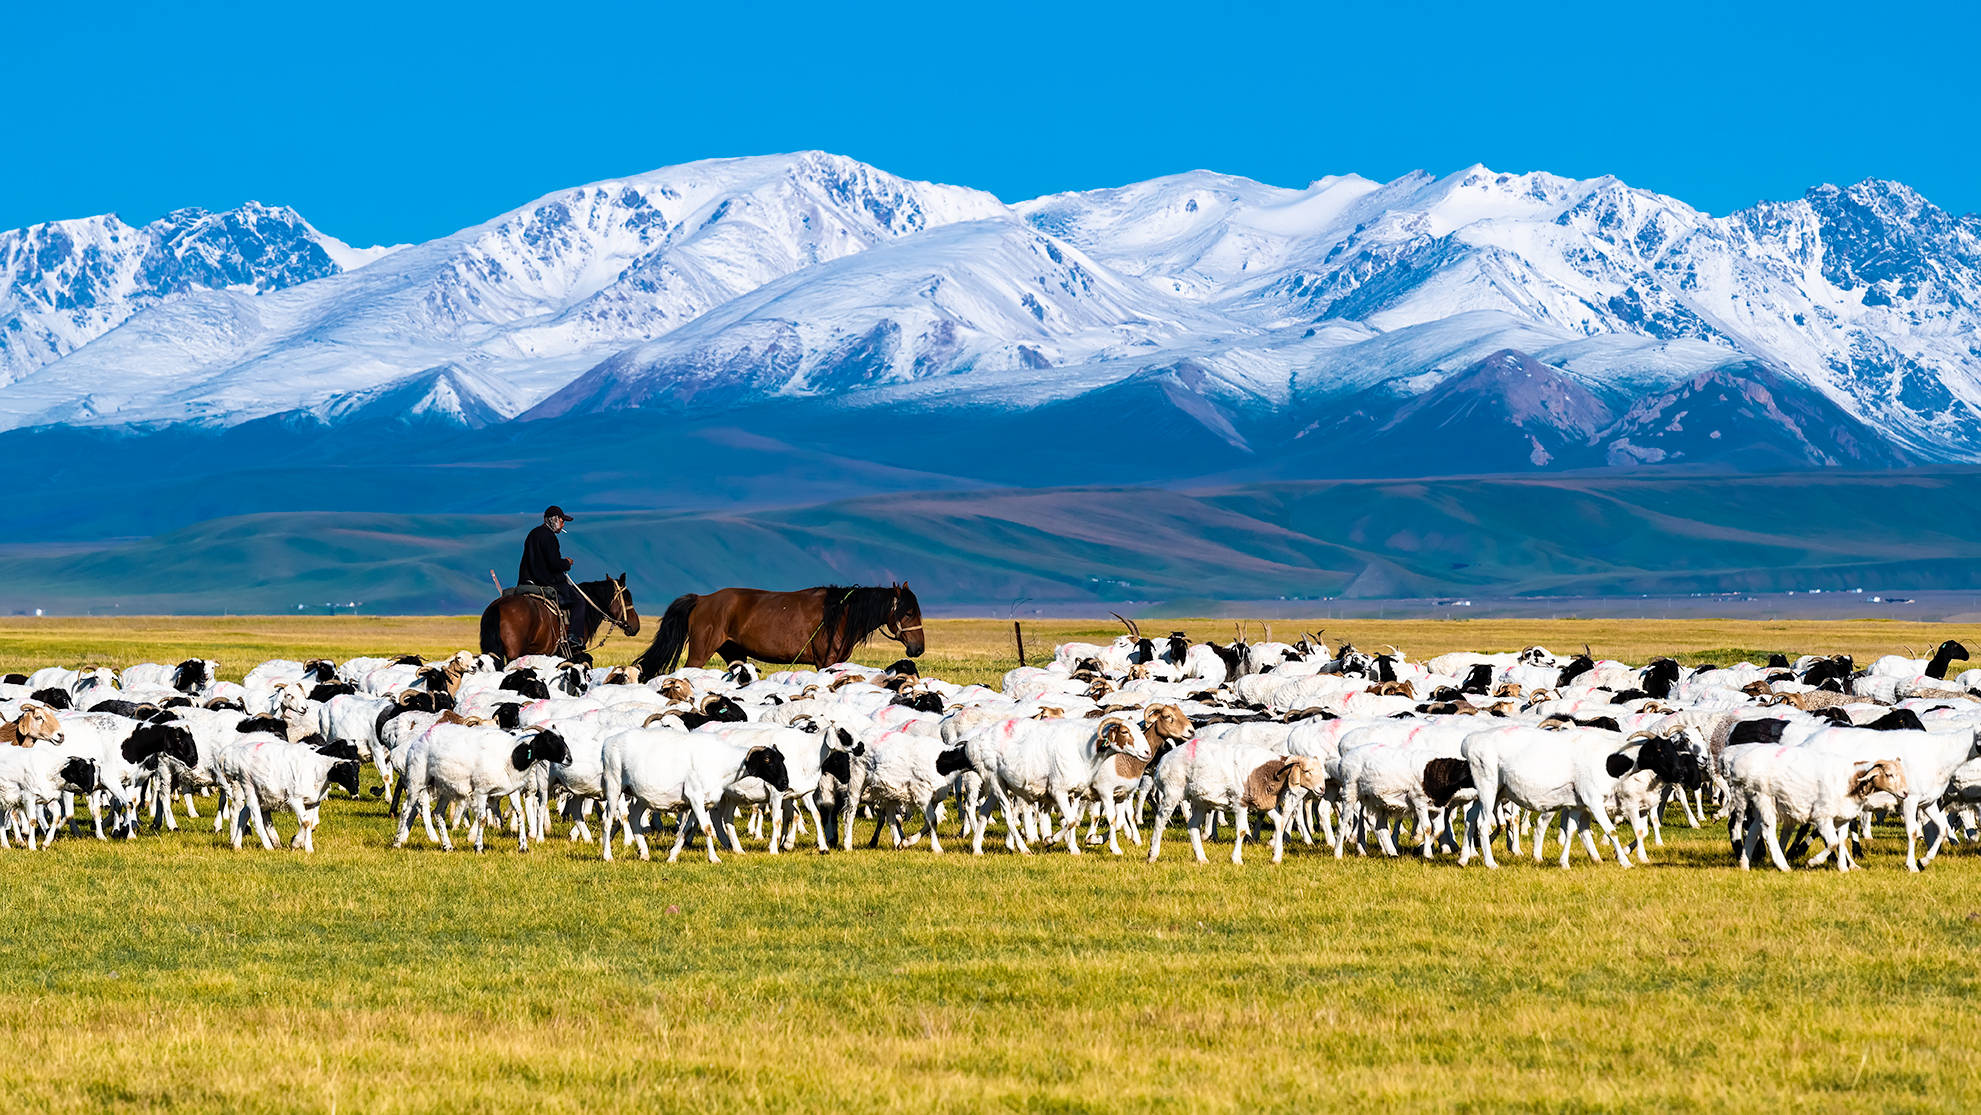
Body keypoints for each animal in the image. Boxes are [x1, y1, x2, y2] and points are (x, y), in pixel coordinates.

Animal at [633, 586, 927, 681]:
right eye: (908, 612)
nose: (918, 648)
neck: (840, 614)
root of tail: (703, 599)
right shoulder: (825, 661)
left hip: (734, 654)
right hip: (700, 652)